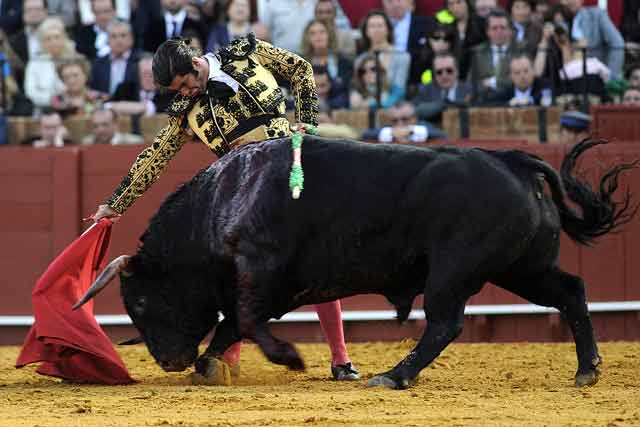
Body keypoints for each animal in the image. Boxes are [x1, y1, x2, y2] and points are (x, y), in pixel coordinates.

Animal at [74, 138, 636, 392]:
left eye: (140, 300)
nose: (167, 361)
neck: (226, 197)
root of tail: (512, 161)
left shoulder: (265, 277)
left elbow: (245, 320)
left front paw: (286, 358)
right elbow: (232, 323)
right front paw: (210, 366)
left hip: (455, 269)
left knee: (446, 321)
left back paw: (393, 375)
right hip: (520, 268)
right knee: (571, 291)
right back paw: (587, 369)